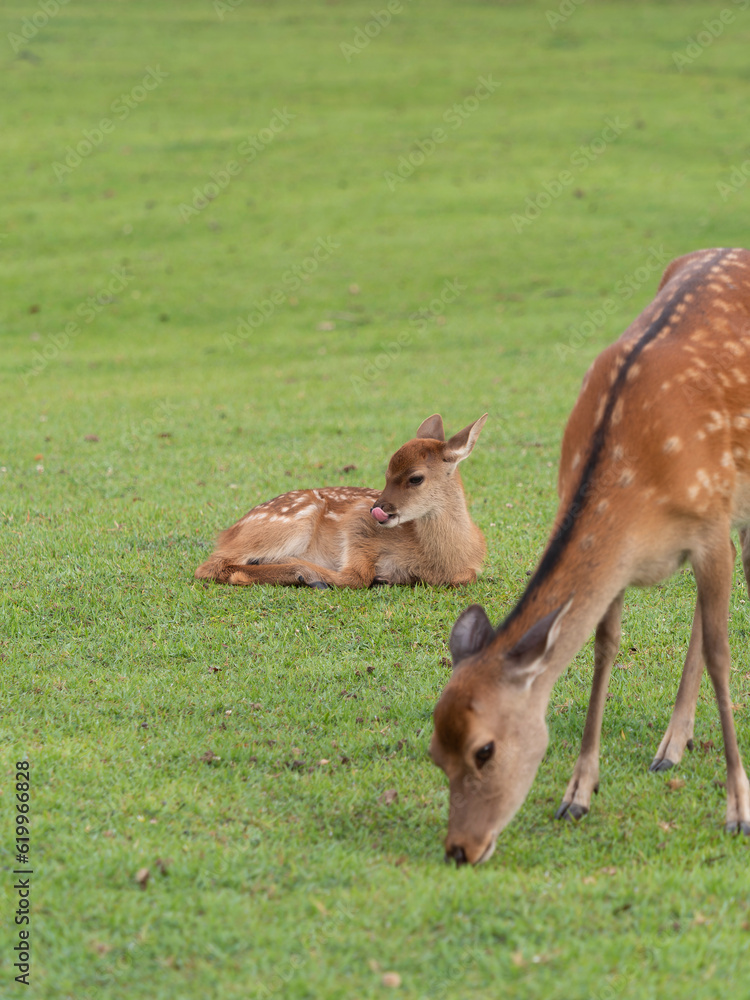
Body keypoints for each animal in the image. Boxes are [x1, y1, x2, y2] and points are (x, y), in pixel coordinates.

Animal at [194, 412, 488, 584]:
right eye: (386, 474)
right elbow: (355, 576)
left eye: (415, 478)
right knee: (210, 565)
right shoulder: (357, 521)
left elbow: (468, 577)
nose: (378, 509)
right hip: (293, 521)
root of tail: (229, 531)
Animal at [428, 246, 750, 864]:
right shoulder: (626, 561)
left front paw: (738, 810)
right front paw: (577, 793)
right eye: (435, 752)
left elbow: (722, 655)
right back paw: (671, 745)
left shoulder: (710, 526)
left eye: (485, 749)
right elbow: (604, 649)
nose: (460, 848)